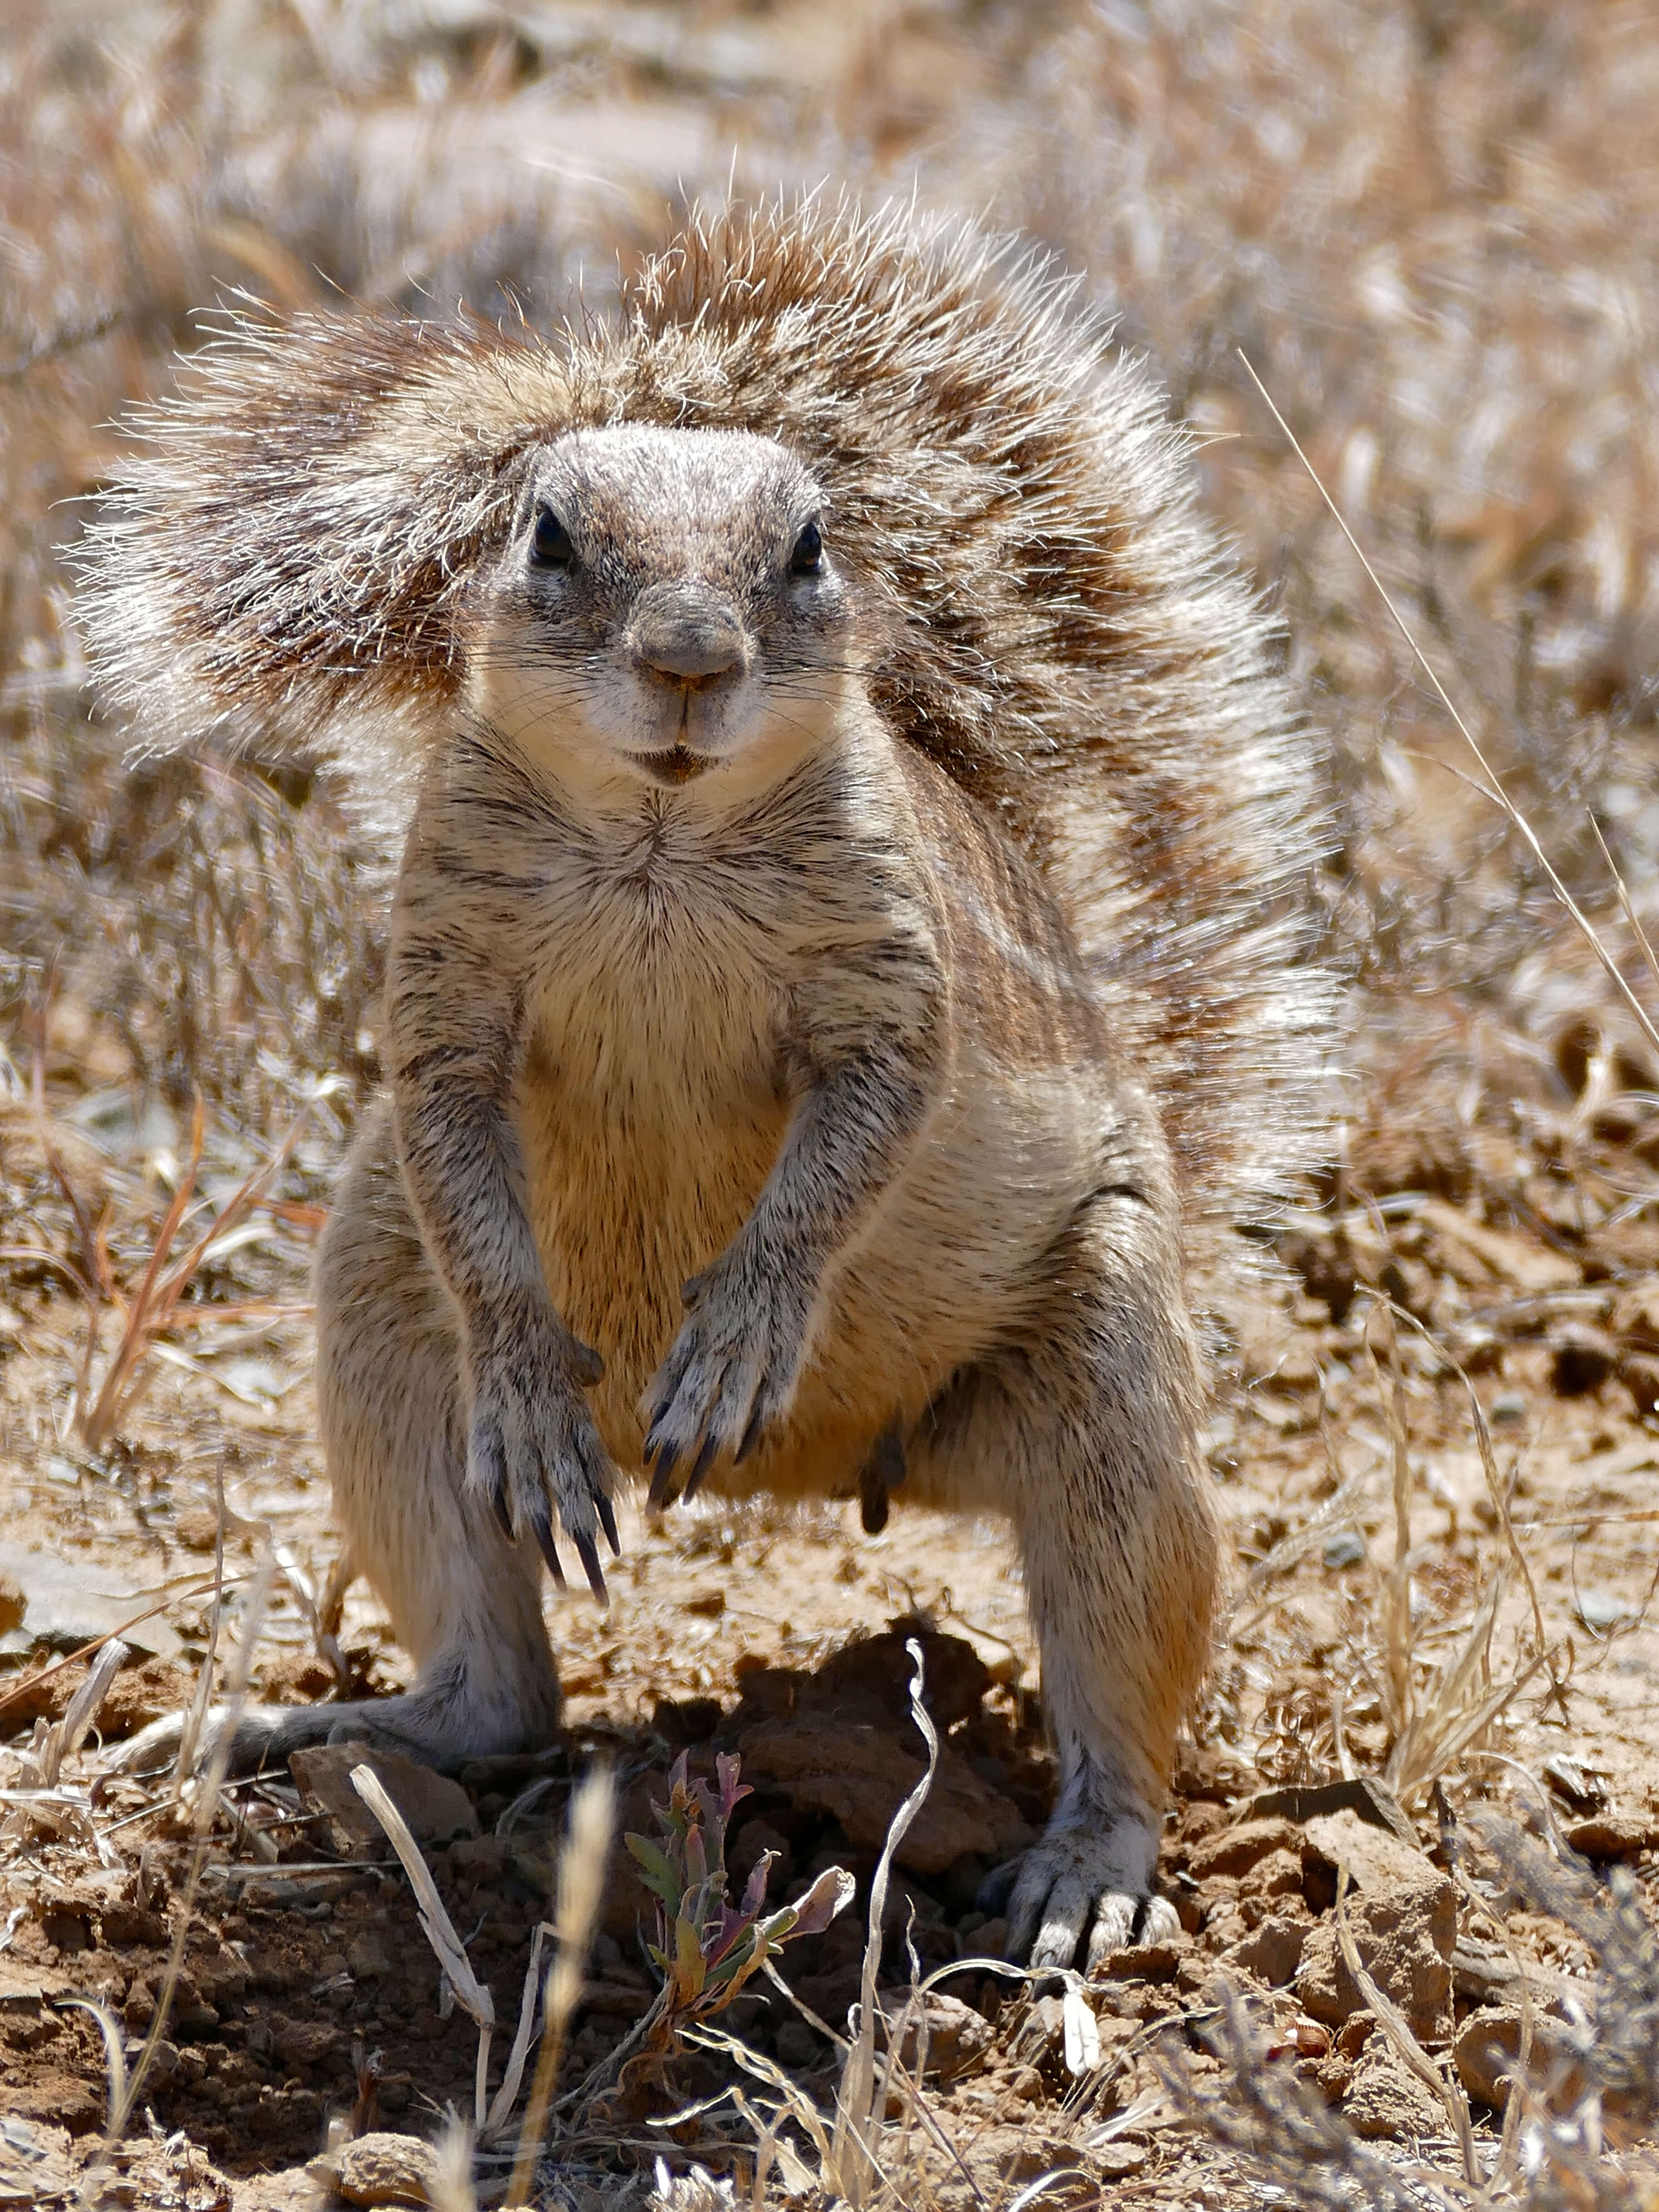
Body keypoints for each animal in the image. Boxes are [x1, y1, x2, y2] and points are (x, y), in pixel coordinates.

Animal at [85, 199, 1345, 1964]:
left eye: (810, 545)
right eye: (546, 535)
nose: (688, 657)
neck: (657, 839)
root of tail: (818, 1477)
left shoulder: (894, 977)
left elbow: (855, 1144)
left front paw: (745, 1320)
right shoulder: (442, 975)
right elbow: (452, 1133)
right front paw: (526, 1375)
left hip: (1104, 1385)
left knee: (1124, 1673)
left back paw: (1079, 1873)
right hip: (383, 1334)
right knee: (499, 1688)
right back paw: (303, 1719)